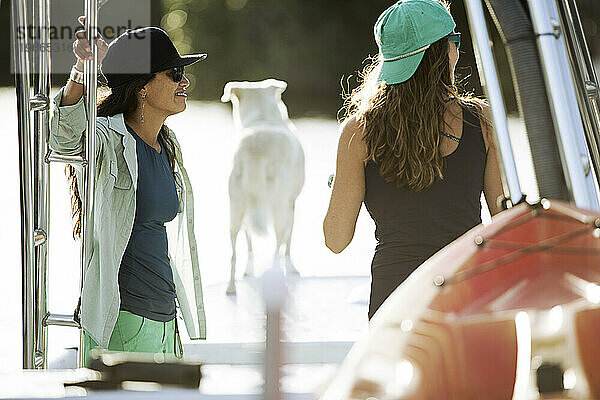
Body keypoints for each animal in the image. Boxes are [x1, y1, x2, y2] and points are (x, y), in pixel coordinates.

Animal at [220, 79, 304, 296]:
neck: (262, 117)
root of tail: (256, 149)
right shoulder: (292, 204)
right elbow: (289, 242)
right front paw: (291, 267)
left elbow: (249, 241)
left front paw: (249, 271)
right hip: (280, 208)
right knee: (278, 245)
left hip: (235, 209)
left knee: (233, 253)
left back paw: (231, 288)